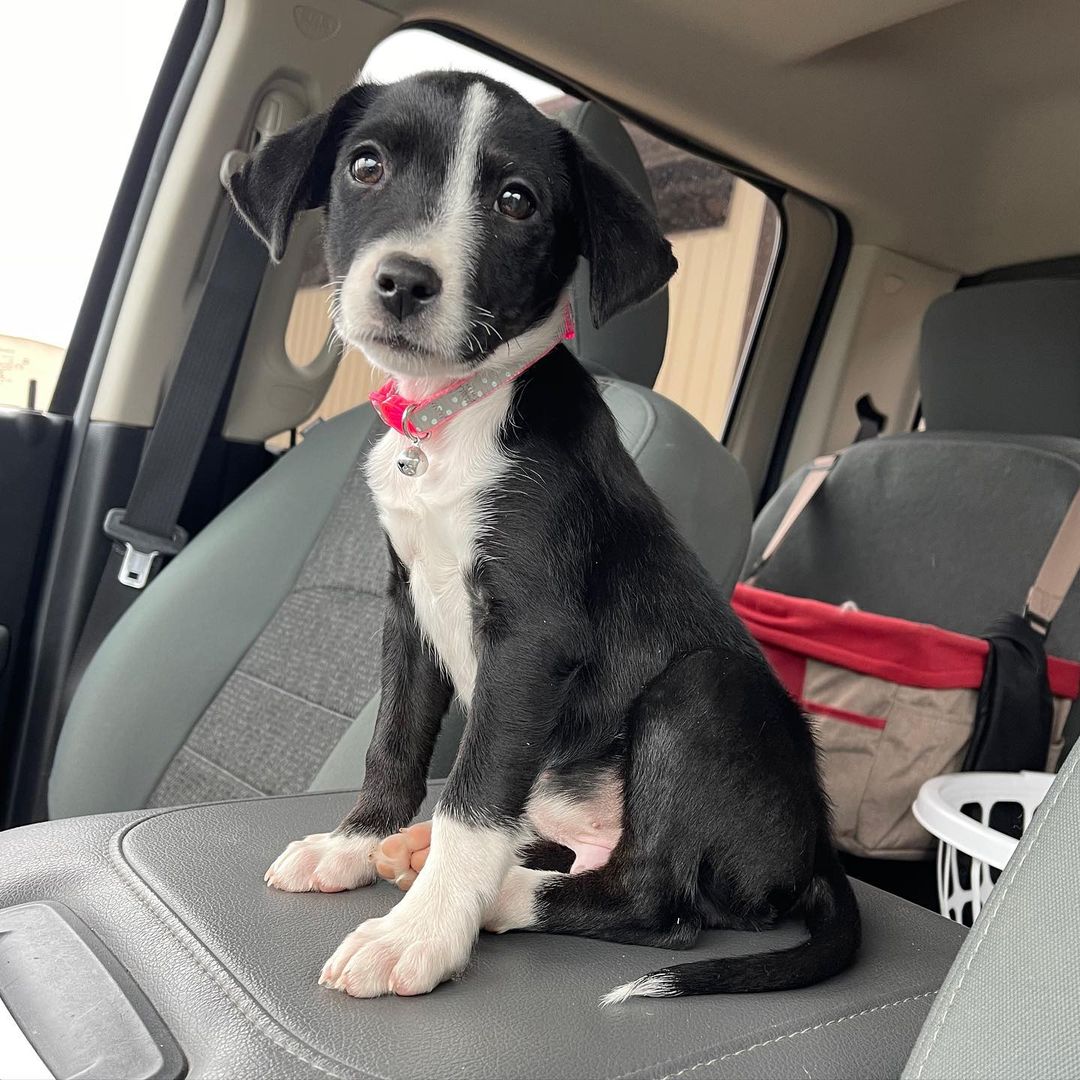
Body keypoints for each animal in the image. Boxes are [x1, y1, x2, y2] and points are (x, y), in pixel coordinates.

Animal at [227, 71, 859, 997]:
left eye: (517, 201)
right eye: (366, 165)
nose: (405, 282)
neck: (456, 417)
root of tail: (817, 851)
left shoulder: (531, 637)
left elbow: (476, 791)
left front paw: (421, 934)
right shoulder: (407, 610)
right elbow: (395, 743)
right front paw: (352, 843)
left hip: (701, 691)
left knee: (657, 902)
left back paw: (492, 897)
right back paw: (419, 852)